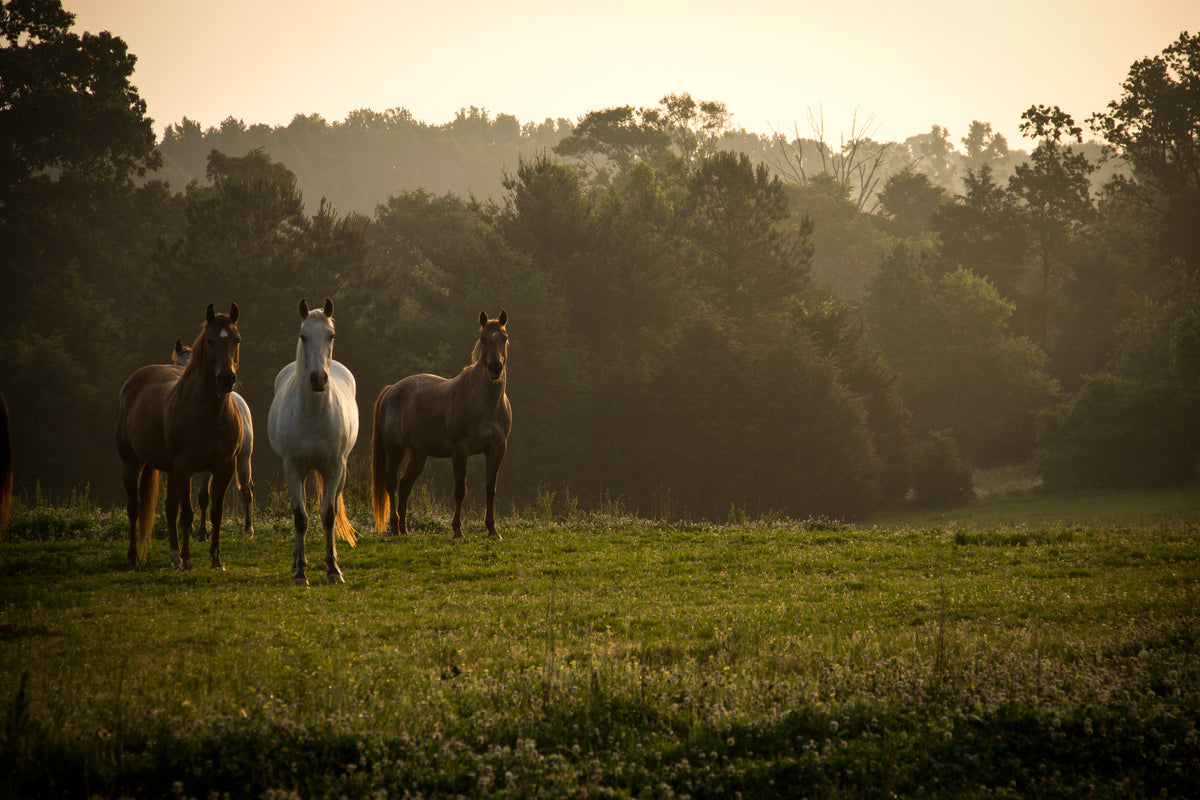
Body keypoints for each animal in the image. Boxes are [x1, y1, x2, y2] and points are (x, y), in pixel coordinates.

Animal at [115, 303, 243, 571]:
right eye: (210, 340)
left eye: (236, 339)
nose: (226, 378)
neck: (209, 413)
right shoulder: (184, 468)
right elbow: (187, 514)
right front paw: (188, 560)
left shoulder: (224, 467)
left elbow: (215, 512)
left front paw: (216, 559)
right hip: (132, 463)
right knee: (134, 508)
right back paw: (134, 559)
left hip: (170, 470)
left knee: (169, 508)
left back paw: (174, 555)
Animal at [172, 339, 255, 539]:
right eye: (177, 364)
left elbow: (203, 496)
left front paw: (202, 532)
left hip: (243, 458)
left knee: (246, 490)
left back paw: (248, 529)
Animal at [267, 298, 359, 585]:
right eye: (303, 336)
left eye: (331, 335)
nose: (318, 379)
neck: (314, 417)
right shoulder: (293, 469)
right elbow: (300, 518)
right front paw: (300, 572)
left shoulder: (334, 468)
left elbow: (328, 516)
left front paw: (333, 570)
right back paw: (297, 559)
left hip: (340, 472)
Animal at [372, 310, 512, 539]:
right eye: (483, 338)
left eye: (504, 337)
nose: (494, 368)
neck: (486, 406)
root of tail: (392, 389)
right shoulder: (460, 451)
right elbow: (460, 491)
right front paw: (457, 531)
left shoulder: (497, 449)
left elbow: (491, 489)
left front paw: (493, 530)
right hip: (395, 448)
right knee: (391, 482)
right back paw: (394, 527)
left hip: (418, 454)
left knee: (405, 484)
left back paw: (404, 529)